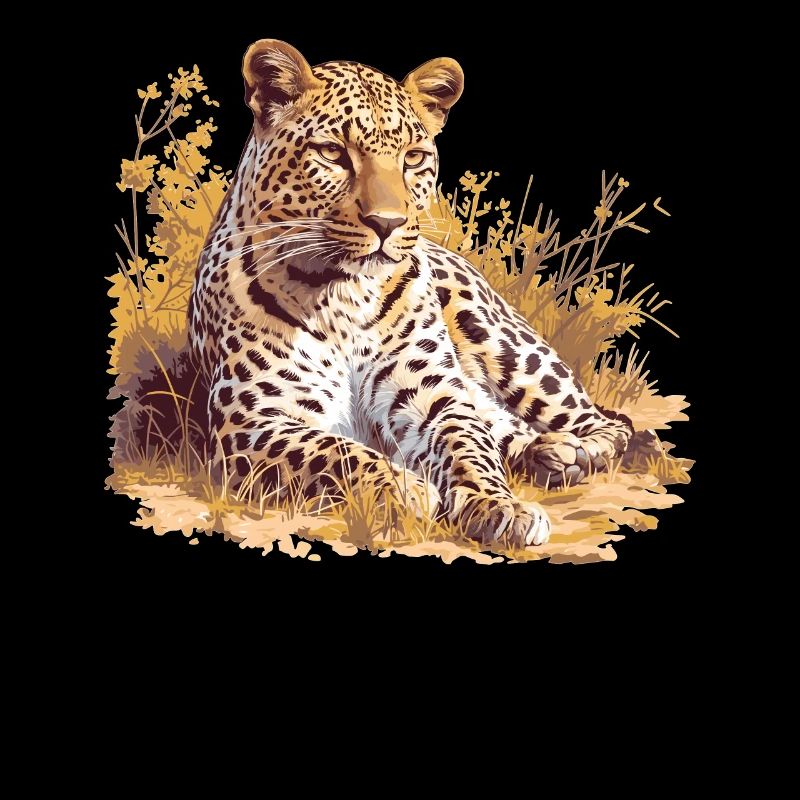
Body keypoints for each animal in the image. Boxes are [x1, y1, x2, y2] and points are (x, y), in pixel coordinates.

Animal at [188, 39, 633, 549]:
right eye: (332, 152)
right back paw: (552, 452)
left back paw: (580, 450)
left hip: (507, 344)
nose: (388, 223)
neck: (344, 297)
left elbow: (466, 446)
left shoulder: (431, 395)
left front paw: (498, 506)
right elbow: (334, 450)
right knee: (502, 423)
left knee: (596, 422)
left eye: (414, 158)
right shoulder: (254, 419)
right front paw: (405, 489)